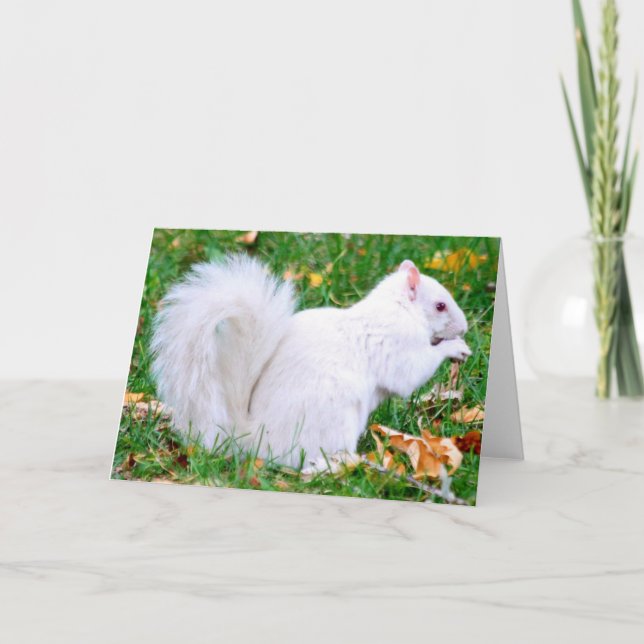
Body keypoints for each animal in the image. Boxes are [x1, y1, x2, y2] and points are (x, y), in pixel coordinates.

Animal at [151, 255, 471, 469]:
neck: (399, 308)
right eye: (440, 306)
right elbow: (410, 374)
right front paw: (455, 348)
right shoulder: (397, 342)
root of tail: (255, 439)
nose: (465, 328)